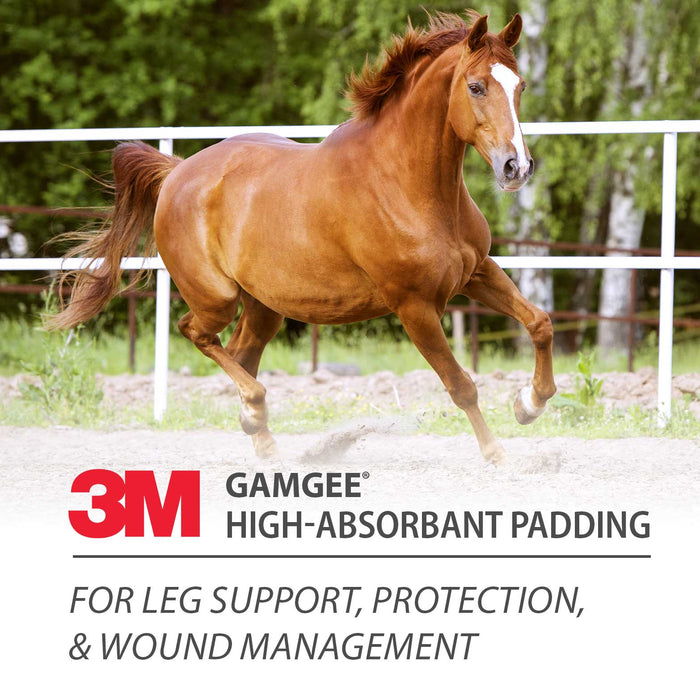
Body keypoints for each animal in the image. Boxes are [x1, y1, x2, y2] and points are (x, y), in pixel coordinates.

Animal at [50, 11, 556, 464]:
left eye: (521, 86)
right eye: (476, 87)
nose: (516, 167)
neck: (408, 185)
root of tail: (177, 172)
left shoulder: (477, 273)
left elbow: (539, 322)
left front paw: (528, 404)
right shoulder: (414, 305)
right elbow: (461, 384)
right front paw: (495, 452)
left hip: (264, 305)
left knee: (241, 351)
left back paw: (263, 439)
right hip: (216, 298)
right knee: (196, 332)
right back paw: (256, 409)